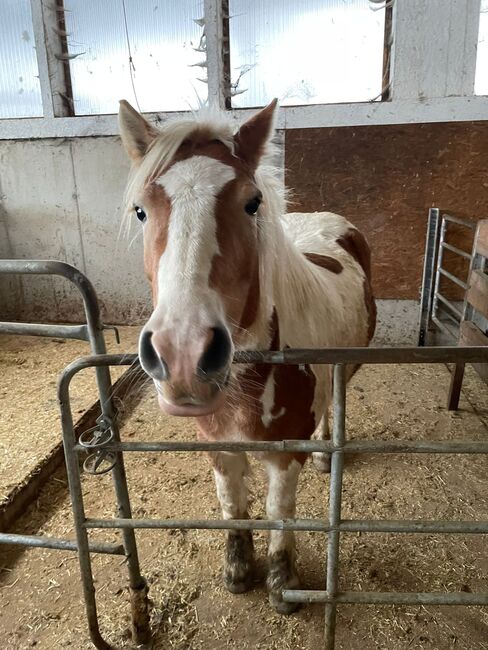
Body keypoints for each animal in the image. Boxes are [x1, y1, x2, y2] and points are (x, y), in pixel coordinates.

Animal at [119, 97, 378, 612]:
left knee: (334, 403)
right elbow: (232, 504)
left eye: (251, 202)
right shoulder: (217, 443)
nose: (182, 353)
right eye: (141, 210)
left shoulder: (283, 455)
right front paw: (238, 570)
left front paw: (282, 582)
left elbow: (279, 511)